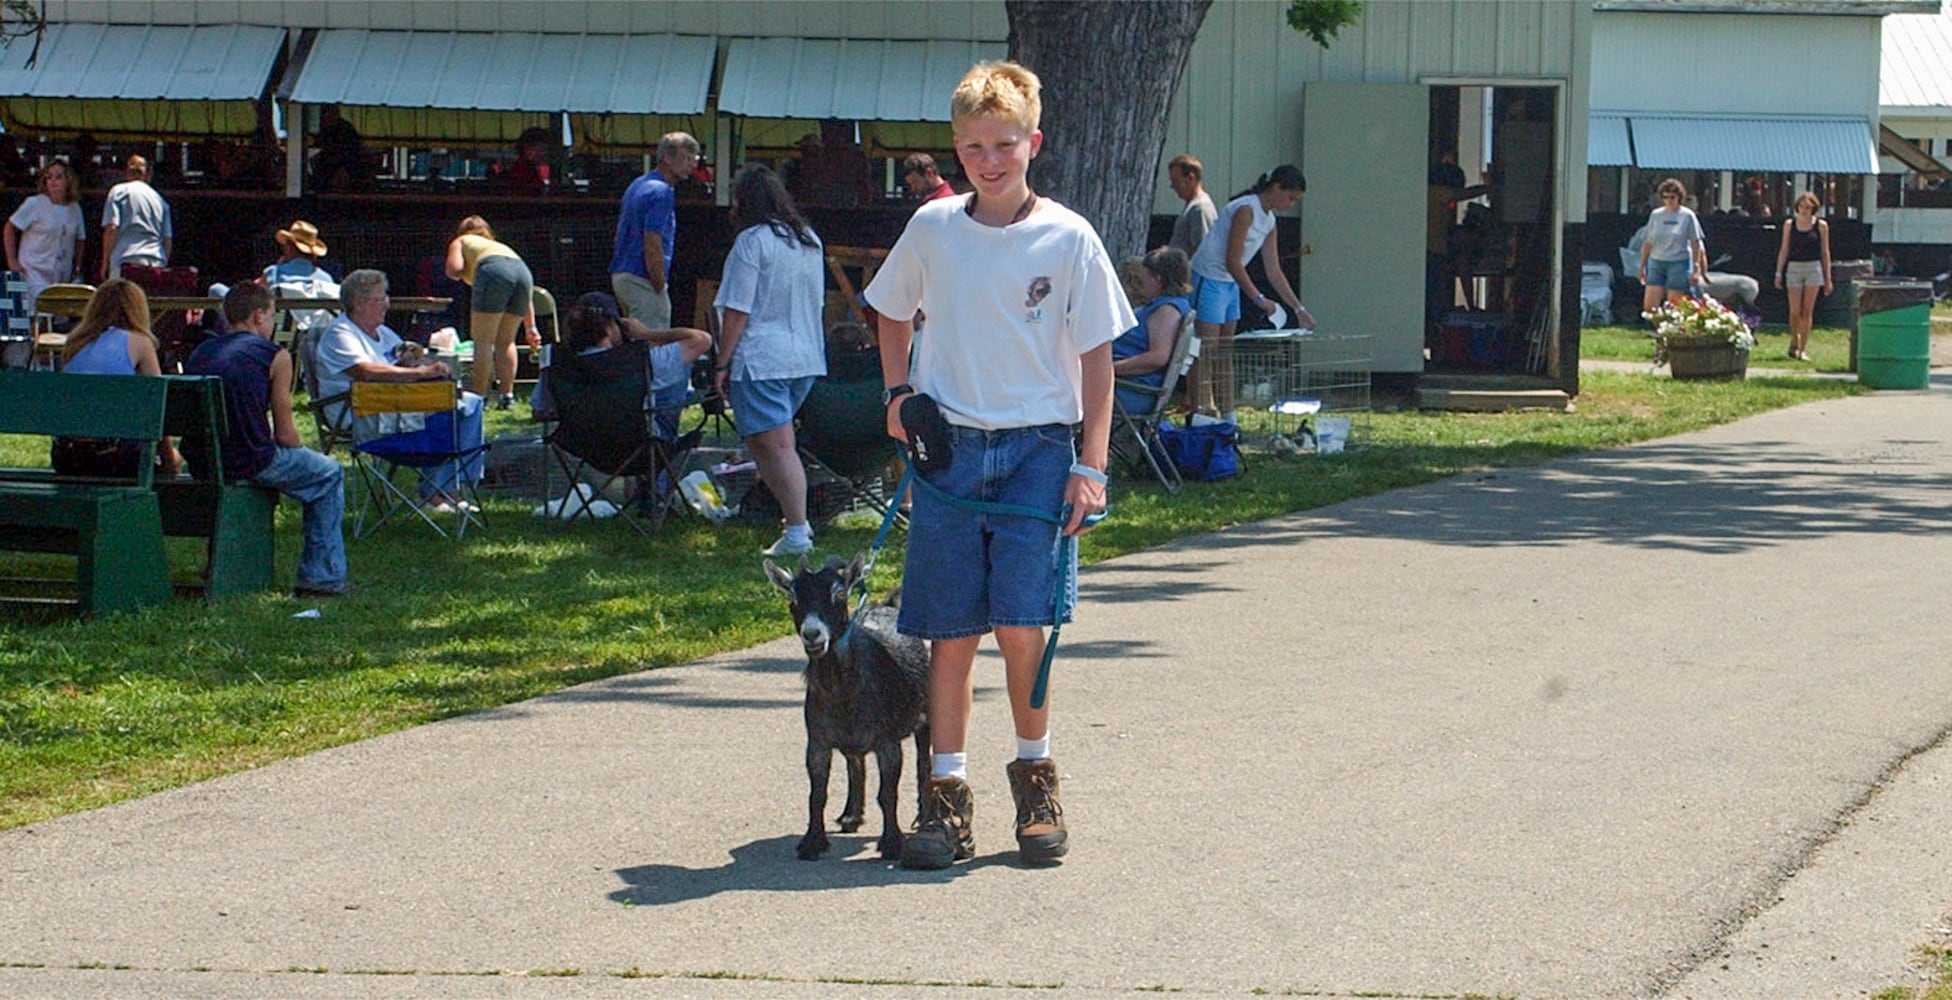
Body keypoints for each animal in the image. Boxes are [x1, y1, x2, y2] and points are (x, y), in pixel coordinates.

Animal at [761, 554, 929, 859]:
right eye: (792, 597)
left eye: (839, 595)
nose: (812, 634)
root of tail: (889, 606)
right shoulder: (817, 742)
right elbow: (817, 794)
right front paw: (812, 842)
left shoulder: (887, 742)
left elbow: (887, 794)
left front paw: (892, 843)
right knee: (855, 764)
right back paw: (851, 815)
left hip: (927, 713)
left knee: (924, 762)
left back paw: (924, 817)